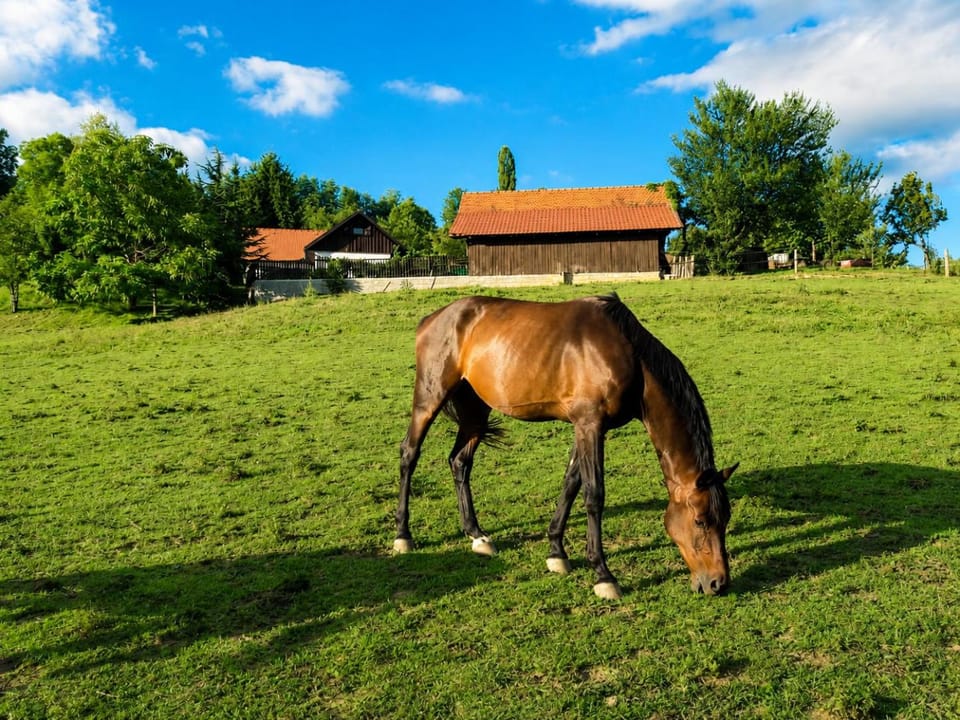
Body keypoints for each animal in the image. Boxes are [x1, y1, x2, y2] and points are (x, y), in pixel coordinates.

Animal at [394, 293, 737, 599]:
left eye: (726, 518)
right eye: (700, 521)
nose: (718, 583)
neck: (630, 357)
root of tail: (433, 318)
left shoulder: (585, 427)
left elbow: (571, 484)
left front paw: (556, 552)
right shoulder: (590, 424)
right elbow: (593, 494)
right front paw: (603, 575)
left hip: (475, 410)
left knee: (459, 462)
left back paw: (476, 535)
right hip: (430, 397)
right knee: (409, 454)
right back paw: (403, 535)